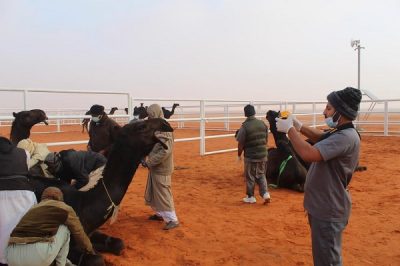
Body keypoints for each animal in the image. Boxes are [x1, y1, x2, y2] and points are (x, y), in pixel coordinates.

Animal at [27, 117, 172, 264]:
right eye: (141, 127)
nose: (165, 123)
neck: (84, 204)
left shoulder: (89, 231)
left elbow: (119, 244)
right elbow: (97, 259)